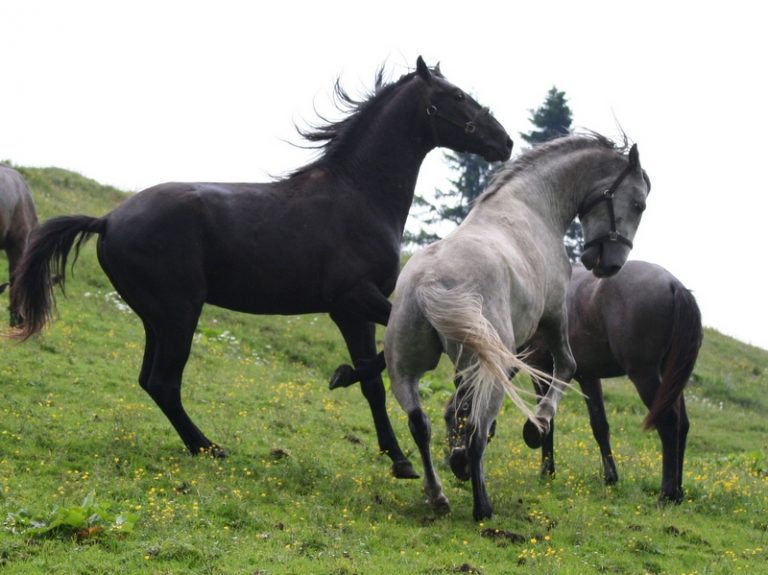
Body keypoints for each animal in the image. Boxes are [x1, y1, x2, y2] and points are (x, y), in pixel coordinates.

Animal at [12, 56, 512, 480]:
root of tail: (108, 220)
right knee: (164, 382)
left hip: (157, 318)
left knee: (151, 382)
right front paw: (376, 426)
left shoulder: (354, 309)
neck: (359, 196)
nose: (504, 141)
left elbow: (375, 372)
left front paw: (389, 443)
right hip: (179, 315)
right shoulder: (351, 301)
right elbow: (375, 371)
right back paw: (209, 448)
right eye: (455, 96)